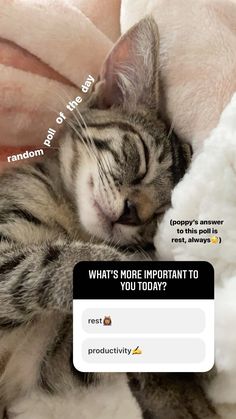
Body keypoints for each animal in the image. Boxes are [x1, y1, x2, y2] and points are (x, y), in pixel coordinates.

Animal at [0, 17, 201, 419]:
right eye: (141, 159)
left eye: (162, 213)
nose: (132, 213)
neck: (71, 222)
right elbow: (55, 261)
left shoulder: (47, 361)